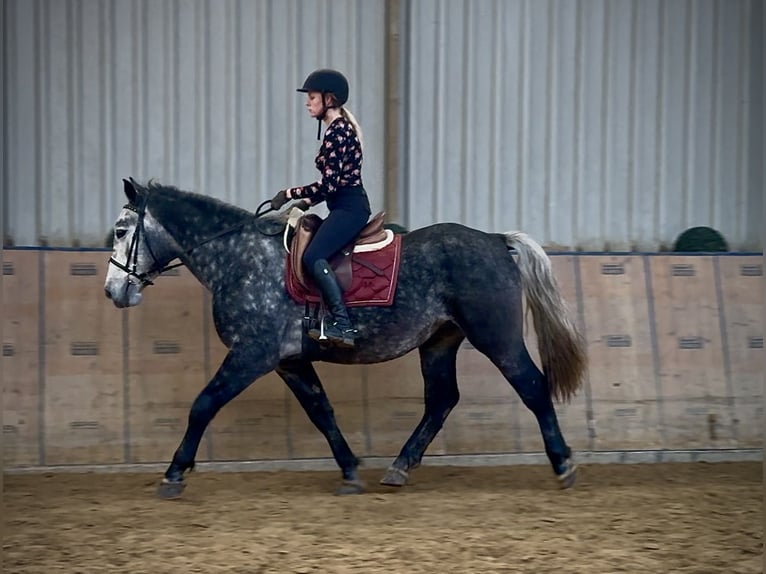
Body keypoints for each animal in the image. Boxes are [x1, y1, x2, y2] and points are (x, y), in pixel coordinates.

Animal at [103, 178, 588, 498]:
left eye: (123, 230)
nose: (113, 291)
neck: (240, 259)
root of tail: (495, 240)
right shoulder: (289, 361)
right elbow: (322, 412)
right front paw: (351, 470)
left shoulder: (252, 355)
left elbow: (203, 404)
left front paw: (174, 473)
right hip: (439, 341)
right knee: (441, 400)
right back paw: (398, 468)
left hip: (495, 336)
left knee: (532, 386)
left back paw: (564, 463)